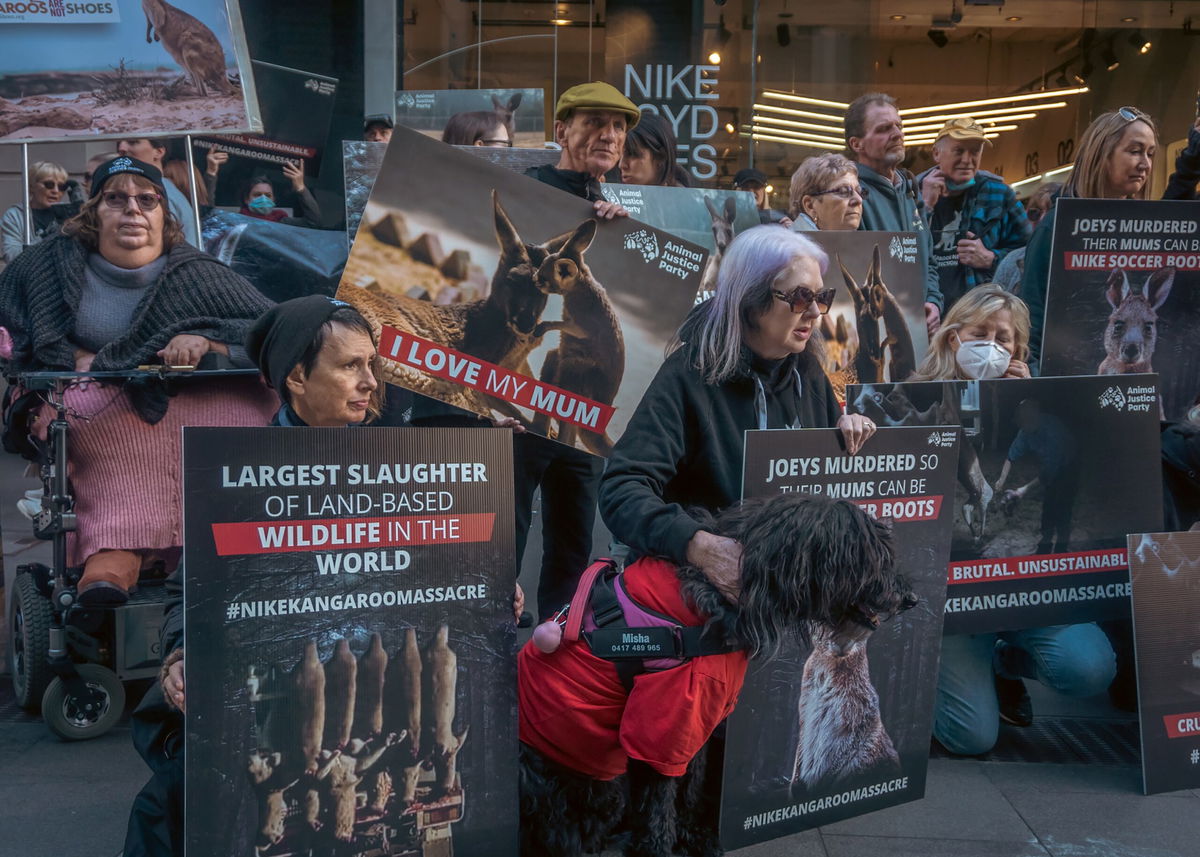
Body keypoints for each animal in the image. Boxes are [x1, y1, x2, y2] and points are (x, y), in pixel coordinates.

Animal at [520, 489, 912, 849]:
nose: (910, 598)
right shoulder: (661, 727)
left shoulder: (698, 720)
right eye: (874, 558)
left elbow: (690, 785)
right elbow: (660, 806)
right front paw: (663, 844)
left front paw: (693, 834)